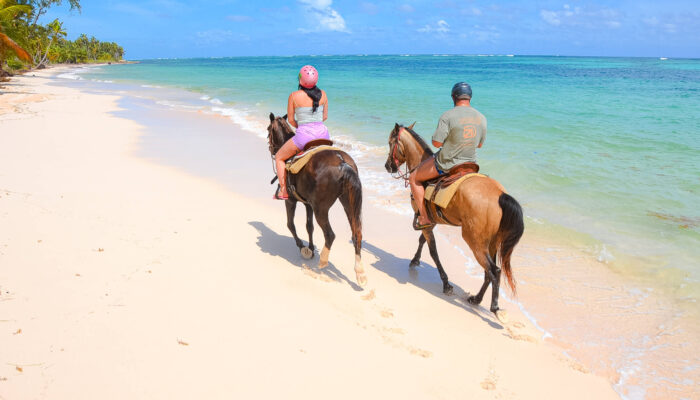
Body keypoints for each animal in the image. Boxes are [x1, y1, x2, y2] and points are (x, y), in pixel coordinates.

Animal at [266, 112, 370, 286]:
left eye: (268, 130)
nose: (271, 150)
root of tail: (342, 162)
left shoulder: (291, 201)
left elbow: (290, 224)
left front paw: (303, 248)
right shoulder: (308, 204)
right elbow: (309, 226)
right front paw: (311, 247)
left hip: (321, 209)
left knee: (330, 235)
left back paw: (322, 262)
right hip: (348, 203)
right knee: (357, 234)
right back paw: (360, 272)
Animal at [386, 123, 524, 320]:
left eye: (390, 143)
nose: (387, 166)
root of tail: (500, 195)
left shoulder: (425, 221)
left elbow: (433, 251)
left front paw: (446, 283)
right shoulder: (430, 221)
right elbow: (422, 241)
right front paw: (415, 260)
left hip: (474, 240)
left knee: (494, 271)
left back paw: (494, 307)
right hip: (491, 242)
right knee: (489, 272)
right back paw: (476, 299)